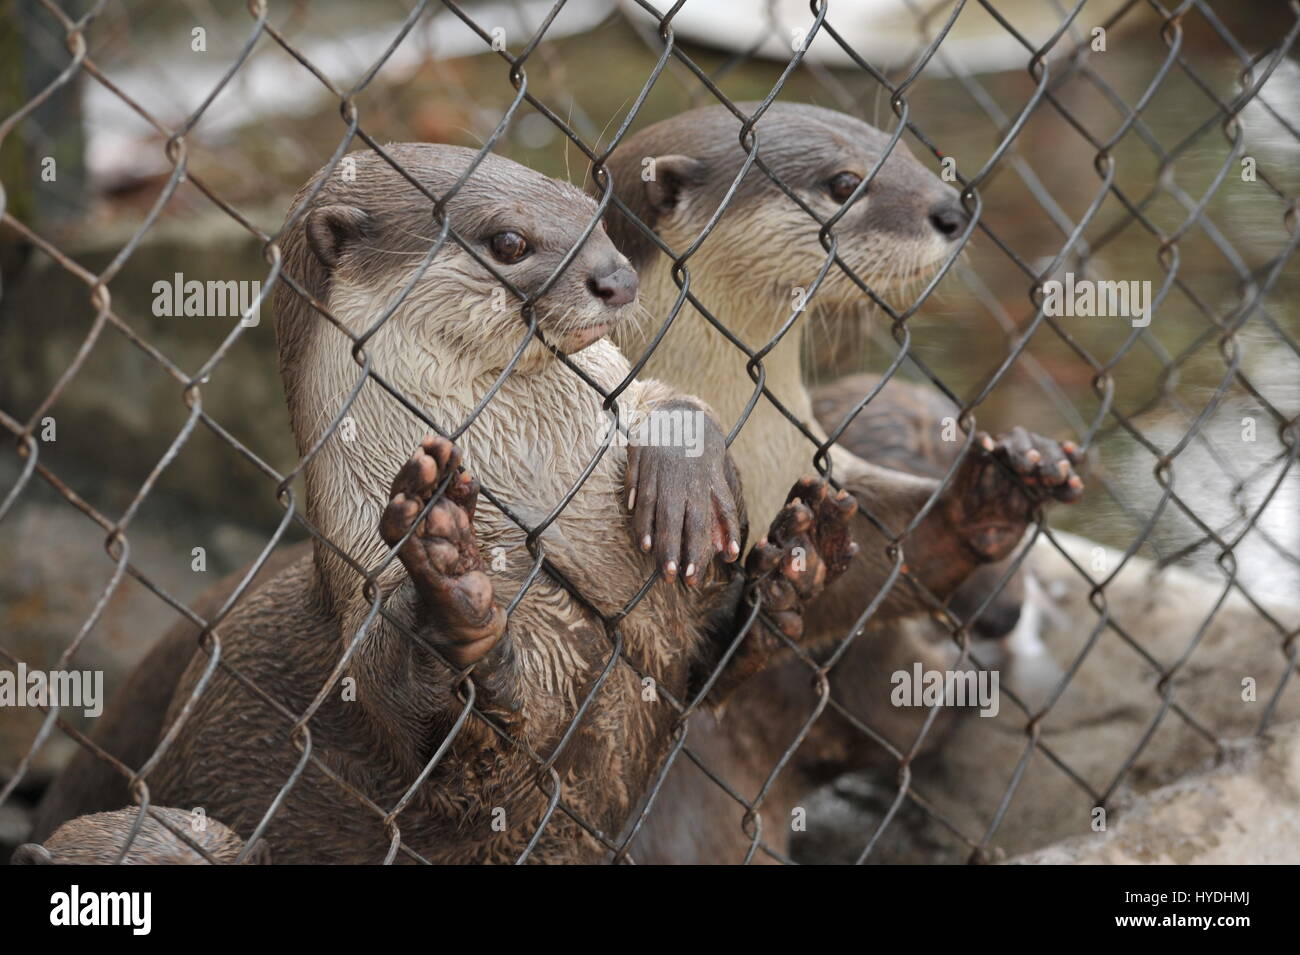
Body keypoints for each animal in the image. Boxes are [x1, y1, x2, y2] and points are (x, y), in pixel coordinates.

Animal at [78, 144, 856, 864]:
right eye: (508, 242)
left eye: (594, 215)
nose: (618, 279)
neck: (547, 510)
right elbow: (446, 723)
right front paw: (448, 582)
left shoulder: (667, 641)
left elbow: (710, 657)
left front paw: (709, 509)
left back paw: (800, 553)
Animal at [598, 103, 1084, 862]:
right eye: (844, 183)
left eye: (903, 151)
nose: (951, 210)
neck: (752, 444)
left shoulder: (816, 466)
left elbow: (878, 564)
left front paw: (991, 495)